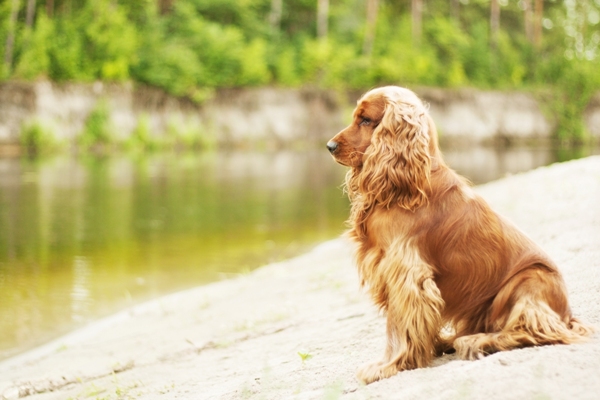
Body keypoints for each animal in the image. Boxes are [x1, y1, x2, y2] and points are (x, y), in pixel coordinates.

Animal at [326, 86, 592, 384]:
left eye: (365, 120)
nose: (329, 146)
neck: (407, 185)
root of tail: (567, 314)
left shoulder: (406, 272)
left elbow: (397, 326)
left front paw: (388, 365)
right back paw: (450, 340)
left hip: (528, 282)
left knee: (530, 330)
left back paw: (477, 340)